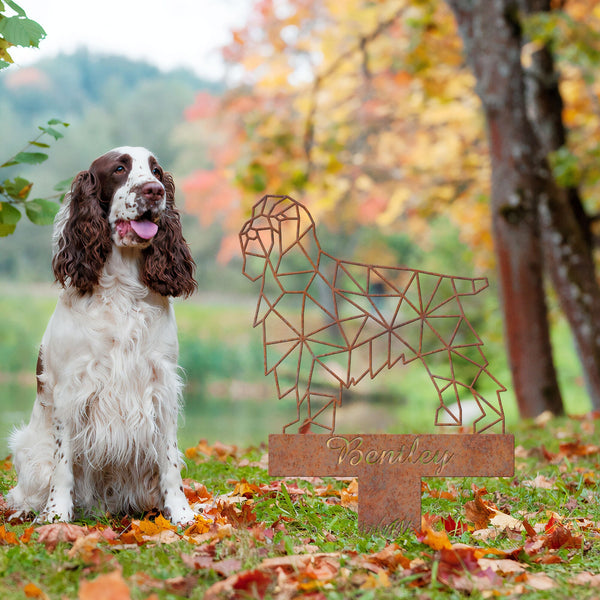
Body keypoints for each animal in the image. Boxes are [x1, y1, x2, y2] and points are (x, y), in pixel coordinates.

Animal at [6, 146, 197, 524]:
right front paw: (56, 514)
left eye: (156, 170)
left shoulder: (162, 384)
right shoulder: (70, 388)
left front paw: (181, 513)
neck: (122, 288)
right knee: (25, 490)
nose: (155, 191)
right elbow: (62, 463)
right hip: (26, 449)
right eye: (119, 169)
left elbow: (170, 460)